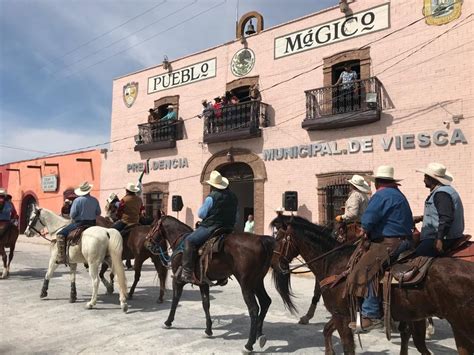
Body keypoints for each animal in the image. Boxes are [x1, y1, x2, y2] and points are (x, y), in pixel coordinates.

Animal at [147, 216, 282, 354]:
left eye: (152, 226)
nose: (148, 243)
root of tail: (261, 240)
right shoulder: (203, 283)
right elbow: (206, 304)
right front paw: (208, 330)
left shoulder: (178, 280)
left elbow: (175, 300)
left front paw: (168, 322)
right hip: (257, 281)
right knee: (265, 301)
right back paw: (259, 335)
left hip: (246, 284)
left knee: (254, 308)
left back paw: (249, 344)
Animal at [270, 216, 474, 354]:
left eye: (279, 238)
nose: (273, 264)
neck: (334, 260)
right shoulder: (343, 314)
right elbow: (327, 331)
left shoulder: (341, 316)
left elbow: (347, 347)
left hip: (461, 326)